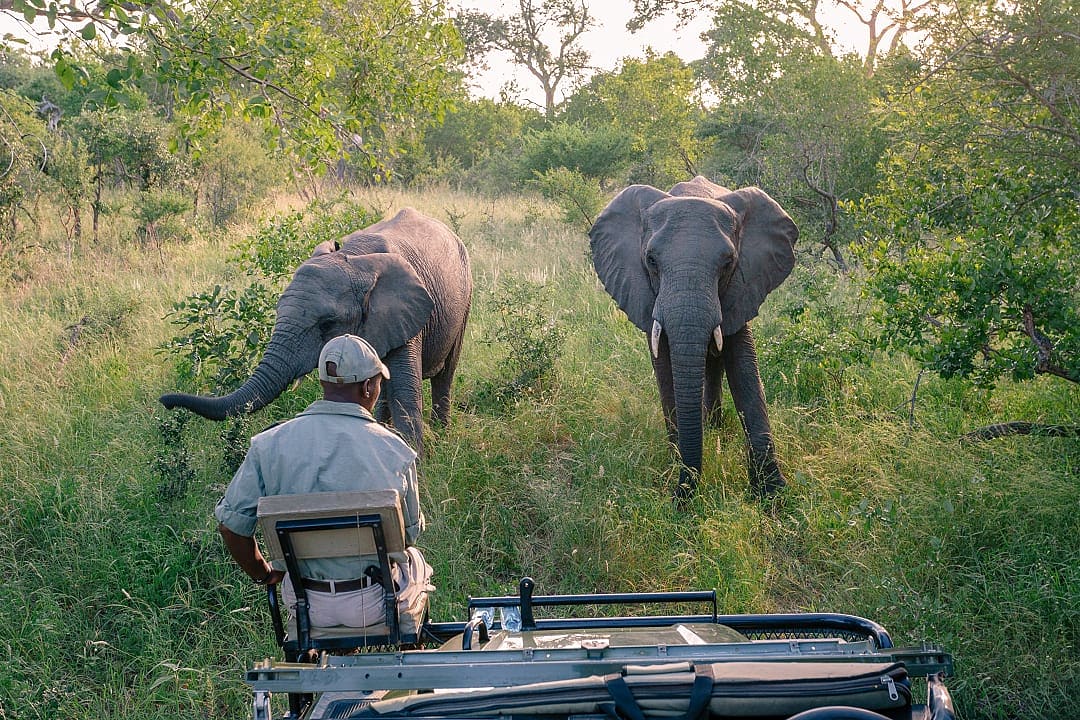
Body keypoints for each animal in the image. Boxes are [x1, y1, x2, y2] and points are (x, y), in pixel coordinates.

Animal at [160, 208, 472, 458]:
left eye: (326, 324)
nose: (165, 402)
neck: (354, 258)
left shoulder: (404, 315)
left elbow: (405, 391)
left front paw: (417, 467)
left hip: (465, 296)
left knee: (446, 372)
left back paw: (441, 433)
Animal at [590, 176, 797, 500]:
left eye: (728, 262)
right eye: (651, 260)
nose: (681, 495)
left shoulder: (743, 286)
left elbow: (744, 368)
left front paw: (773, 496)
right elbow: (665, 369)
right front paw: (677, 468)